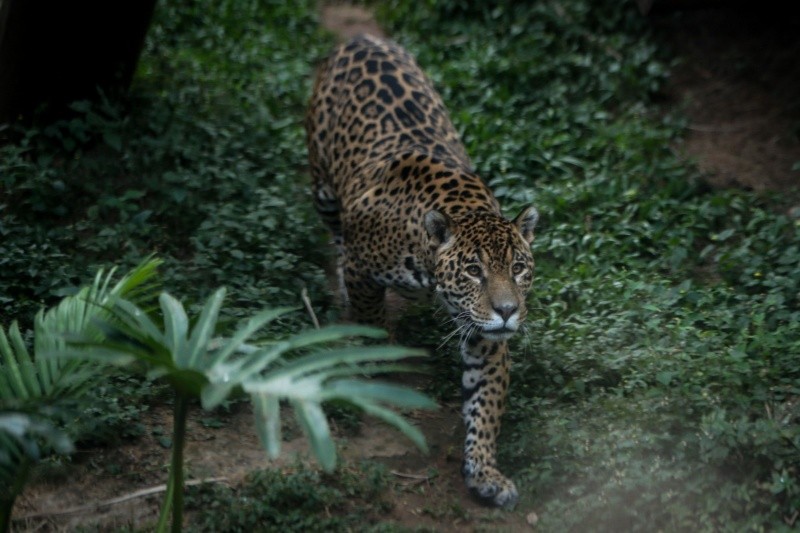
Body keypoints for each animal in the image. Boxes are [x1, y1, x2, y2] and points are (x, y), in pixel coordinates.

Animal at [305, 34, 539, 508]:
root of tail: (360, 38)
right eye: (474, 270)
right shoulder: (364, 269)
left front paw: (484, 471)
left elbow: (486, 404)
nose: (508, 311)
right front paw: (374, 356)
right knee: (335, 234)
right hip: (322, 185)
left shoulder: (485, 335)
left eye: (519, 269)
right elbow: (372, 316)